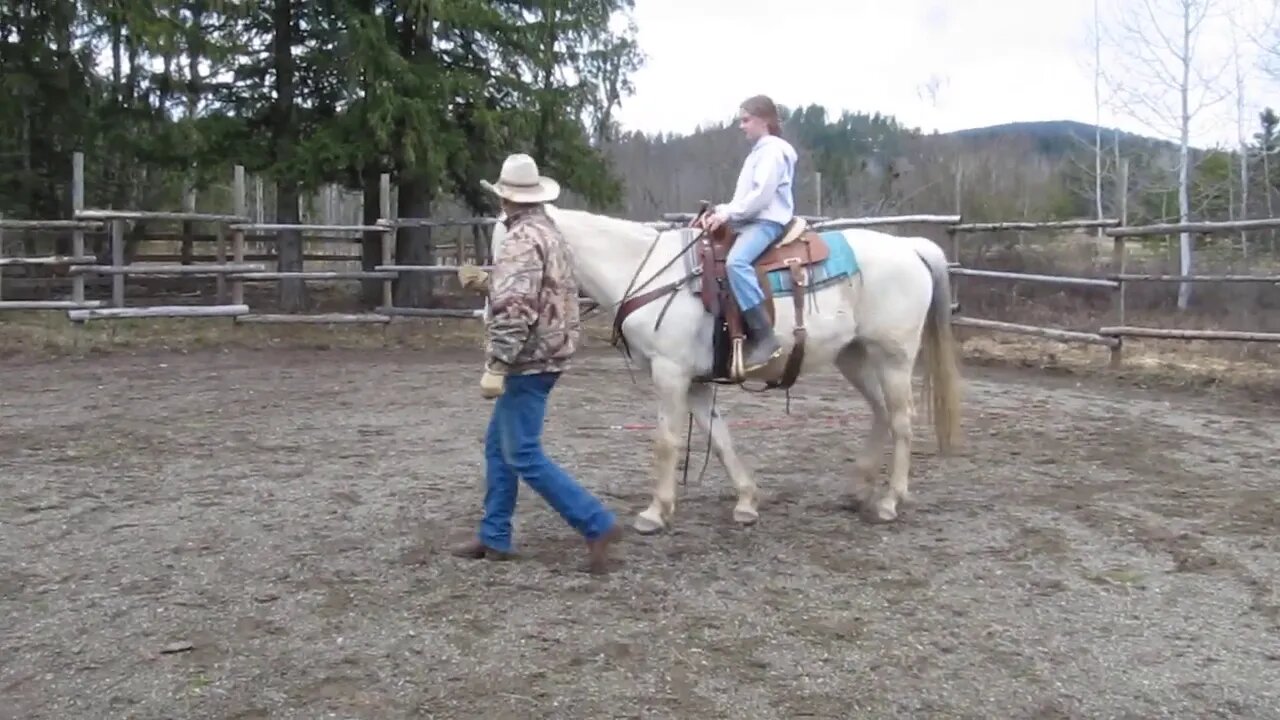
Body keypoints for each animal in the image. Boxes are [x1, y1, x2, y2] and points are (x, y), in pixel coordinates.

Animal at [483, 204, 962, 530]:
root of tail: (910, 247)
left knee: (901, 421)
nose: (493, 307)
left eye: (513, 241)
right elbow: (720, 438)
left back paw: (890, 501)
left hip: (893, 357)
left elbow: (666, 442)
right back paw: (859, 490)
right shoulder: (695, 381)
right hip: (855, 356)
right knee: (881, 413)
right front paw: (747, 502)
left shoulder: (670, 373)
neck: (650, 274)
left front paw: (655, 511)